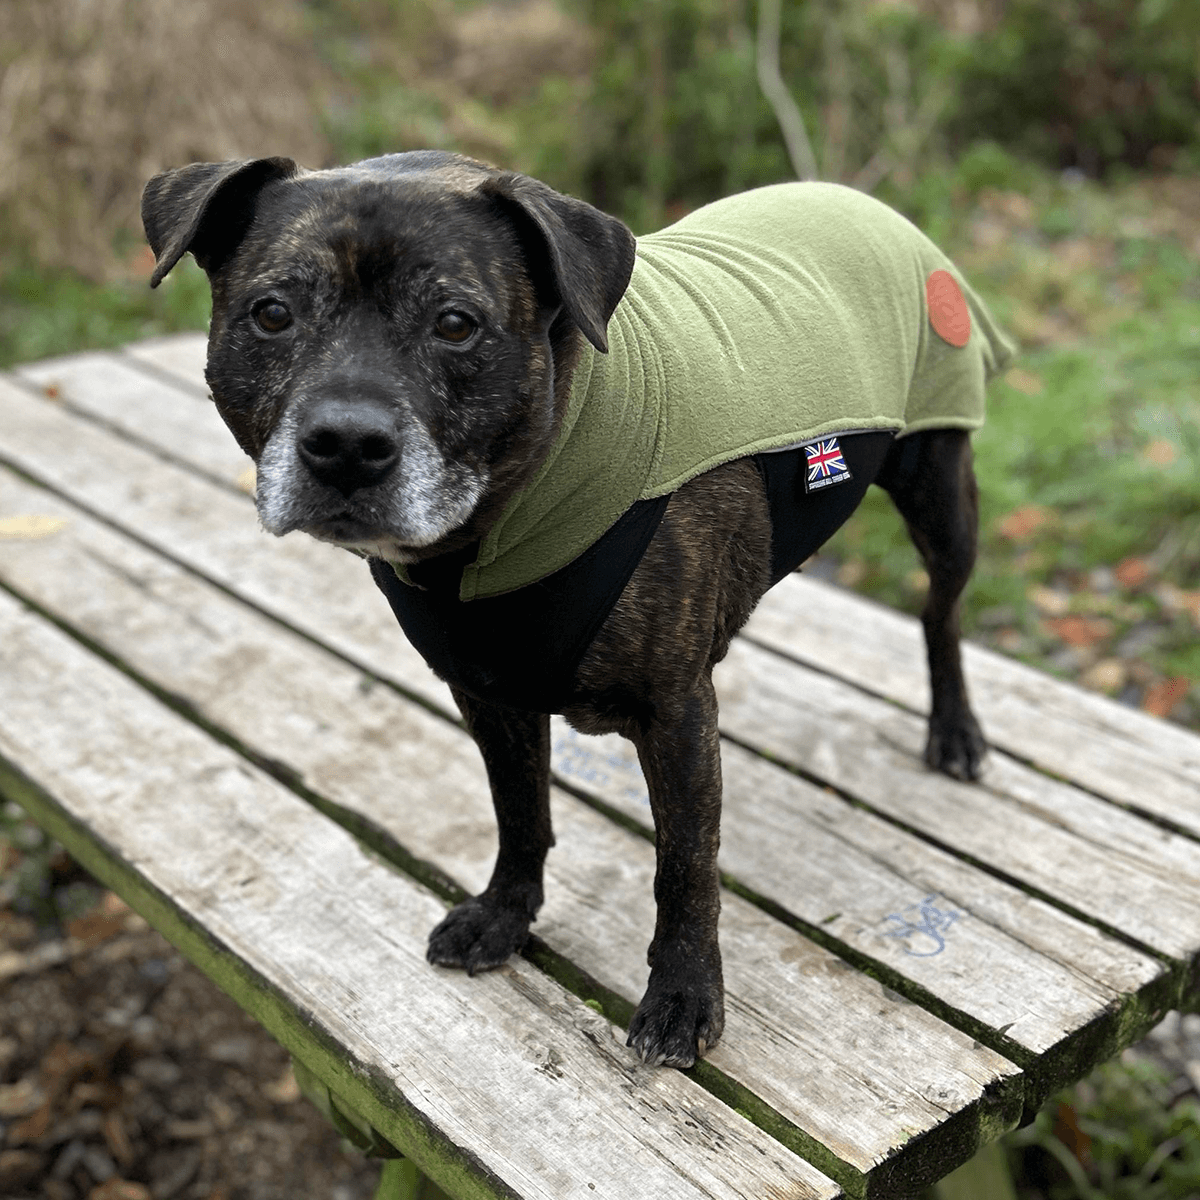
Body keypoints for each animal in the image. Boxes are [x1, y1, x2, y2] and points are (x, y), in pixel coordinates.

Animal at [145, 152, 1017, 1070]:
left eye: (456, 324)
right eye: (272, 313)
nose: (346, 444)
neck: (493, 533)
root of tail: (856, 197)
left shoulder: (675, 715)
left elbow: (684, 866)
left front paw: (682, 995)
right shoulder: (490, 695)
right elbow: (520, 812)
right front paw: (505, 915)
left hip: (943, 495)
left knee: (940, 615)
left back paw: (955, 731)